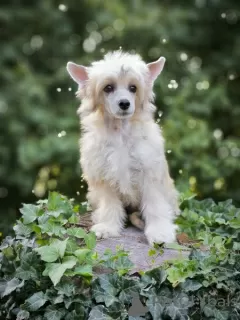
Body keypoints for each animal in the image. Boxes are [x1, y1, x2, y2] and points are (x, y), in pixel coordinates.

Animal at [66, 50, 179, 245]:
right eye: (108, 88)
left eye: (133, 88)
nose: (125, 103)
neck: (120, 133)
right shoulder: (104, 177)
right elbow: (110, 205)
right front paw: (108, 227)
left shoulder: (150, 174)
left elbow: (155, 205)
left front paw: (160, 232)